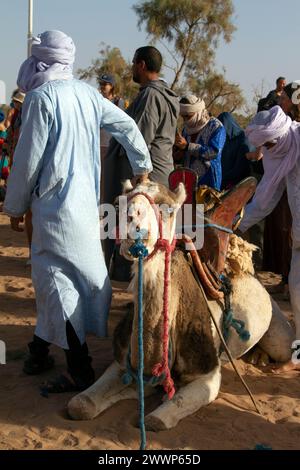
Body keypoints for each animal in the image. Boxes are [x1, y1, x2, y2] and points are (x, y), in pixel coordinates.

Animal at [68, 182, 292, 432]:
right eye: (119, 203)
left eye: (167, 209)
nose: (131, 223)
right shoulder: (123, 363)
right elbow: (80, 405)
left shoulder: (207, 375)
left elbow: (156, 421)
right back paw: (256, 357)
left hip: (277, 326)